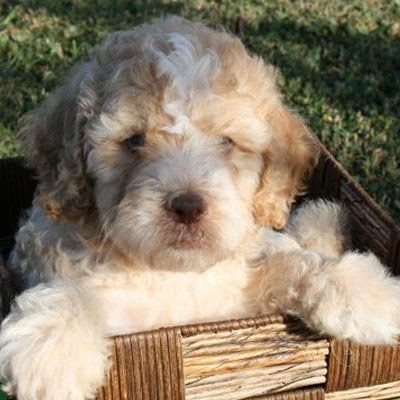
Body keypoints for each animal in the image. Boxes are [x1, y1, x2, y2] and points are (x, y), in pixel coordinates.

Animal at [0, 16, 400, 400]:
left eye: (226, 142)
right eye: (134, 141)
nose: (187, 207)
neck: (174, 274)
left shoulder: (241, 292)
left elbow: (295, 263)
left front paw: (366, 292)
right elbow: (73, 286)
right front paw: (50, 349)